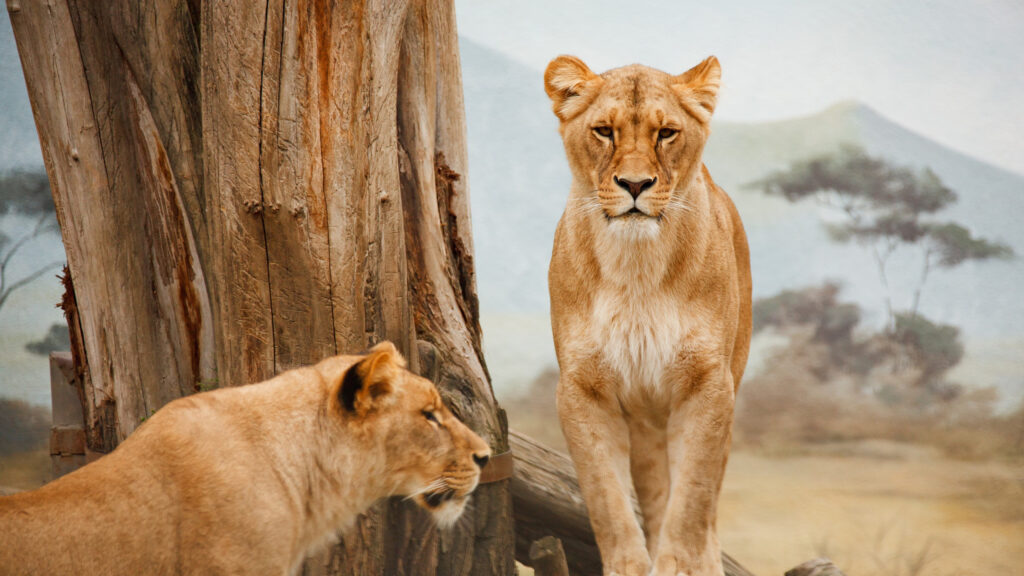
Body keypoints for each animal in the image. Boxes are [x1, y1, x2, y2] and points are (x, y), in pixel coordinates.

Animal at [544, 55, 752, 576]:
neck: (635, 267)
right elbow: (608, 500)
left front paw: (681, 565)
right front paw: (631, 565)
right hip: (644, 422)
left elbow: (692, 501)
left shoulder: (708, 385)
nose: (635, 185)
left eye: (667, 133)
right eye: (604, 131)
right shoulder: (582, 389)